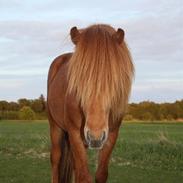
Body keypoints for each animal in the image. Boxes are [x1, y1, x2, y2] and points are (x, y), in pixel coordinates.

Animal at [46, 24, 134, 183]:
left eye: (113, 79)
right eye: (78, 80)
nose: (95, 136)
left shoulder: (111, 135)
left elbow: (100, 174)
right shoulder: (75, 133)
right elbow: (84, 176)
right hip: (55, 126)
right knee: (55, 159)